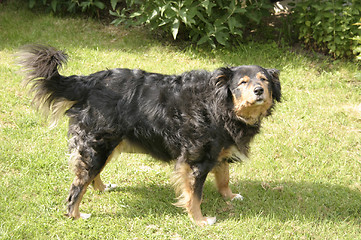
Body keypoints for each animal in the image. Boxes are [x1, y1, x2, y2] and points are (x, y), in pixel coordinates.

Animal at [17, 44, 282, 225]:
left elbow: (224, 177)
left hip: (108, 143)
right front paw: (199, 221)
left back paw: (102, 188)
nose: (259, 91)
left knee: (90, 176)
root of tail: (89, 81)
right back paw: (76, 215)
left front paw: (229, 196)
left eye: (265, 80)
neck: (220, 103)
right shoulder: (195, 160)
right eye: (242, 83)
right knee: (77, 186)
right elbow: (194, 195)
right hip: (98, 145)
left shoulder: (219, 151)